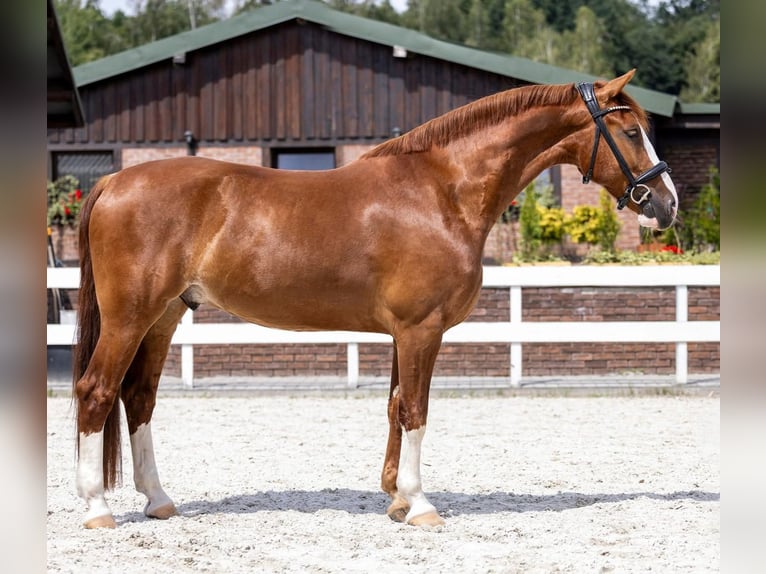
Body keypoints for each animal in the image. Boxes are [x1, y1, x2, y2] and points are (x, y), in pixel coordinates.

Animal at [72, 69, 677, 529]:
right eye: (629, 131)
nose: (666, 204)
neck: (442, 192)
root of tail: (113, 182)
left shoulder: (402, 333)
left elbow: (394, 406)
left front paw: (396, 499)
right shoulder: (421, 330)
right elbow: (416, 410)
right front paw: (422, 505)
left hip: (164, 317)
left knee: (139, 398)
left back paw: (158, 501)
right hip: (130, 318)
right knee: (95, 391)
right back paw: (97, 509)